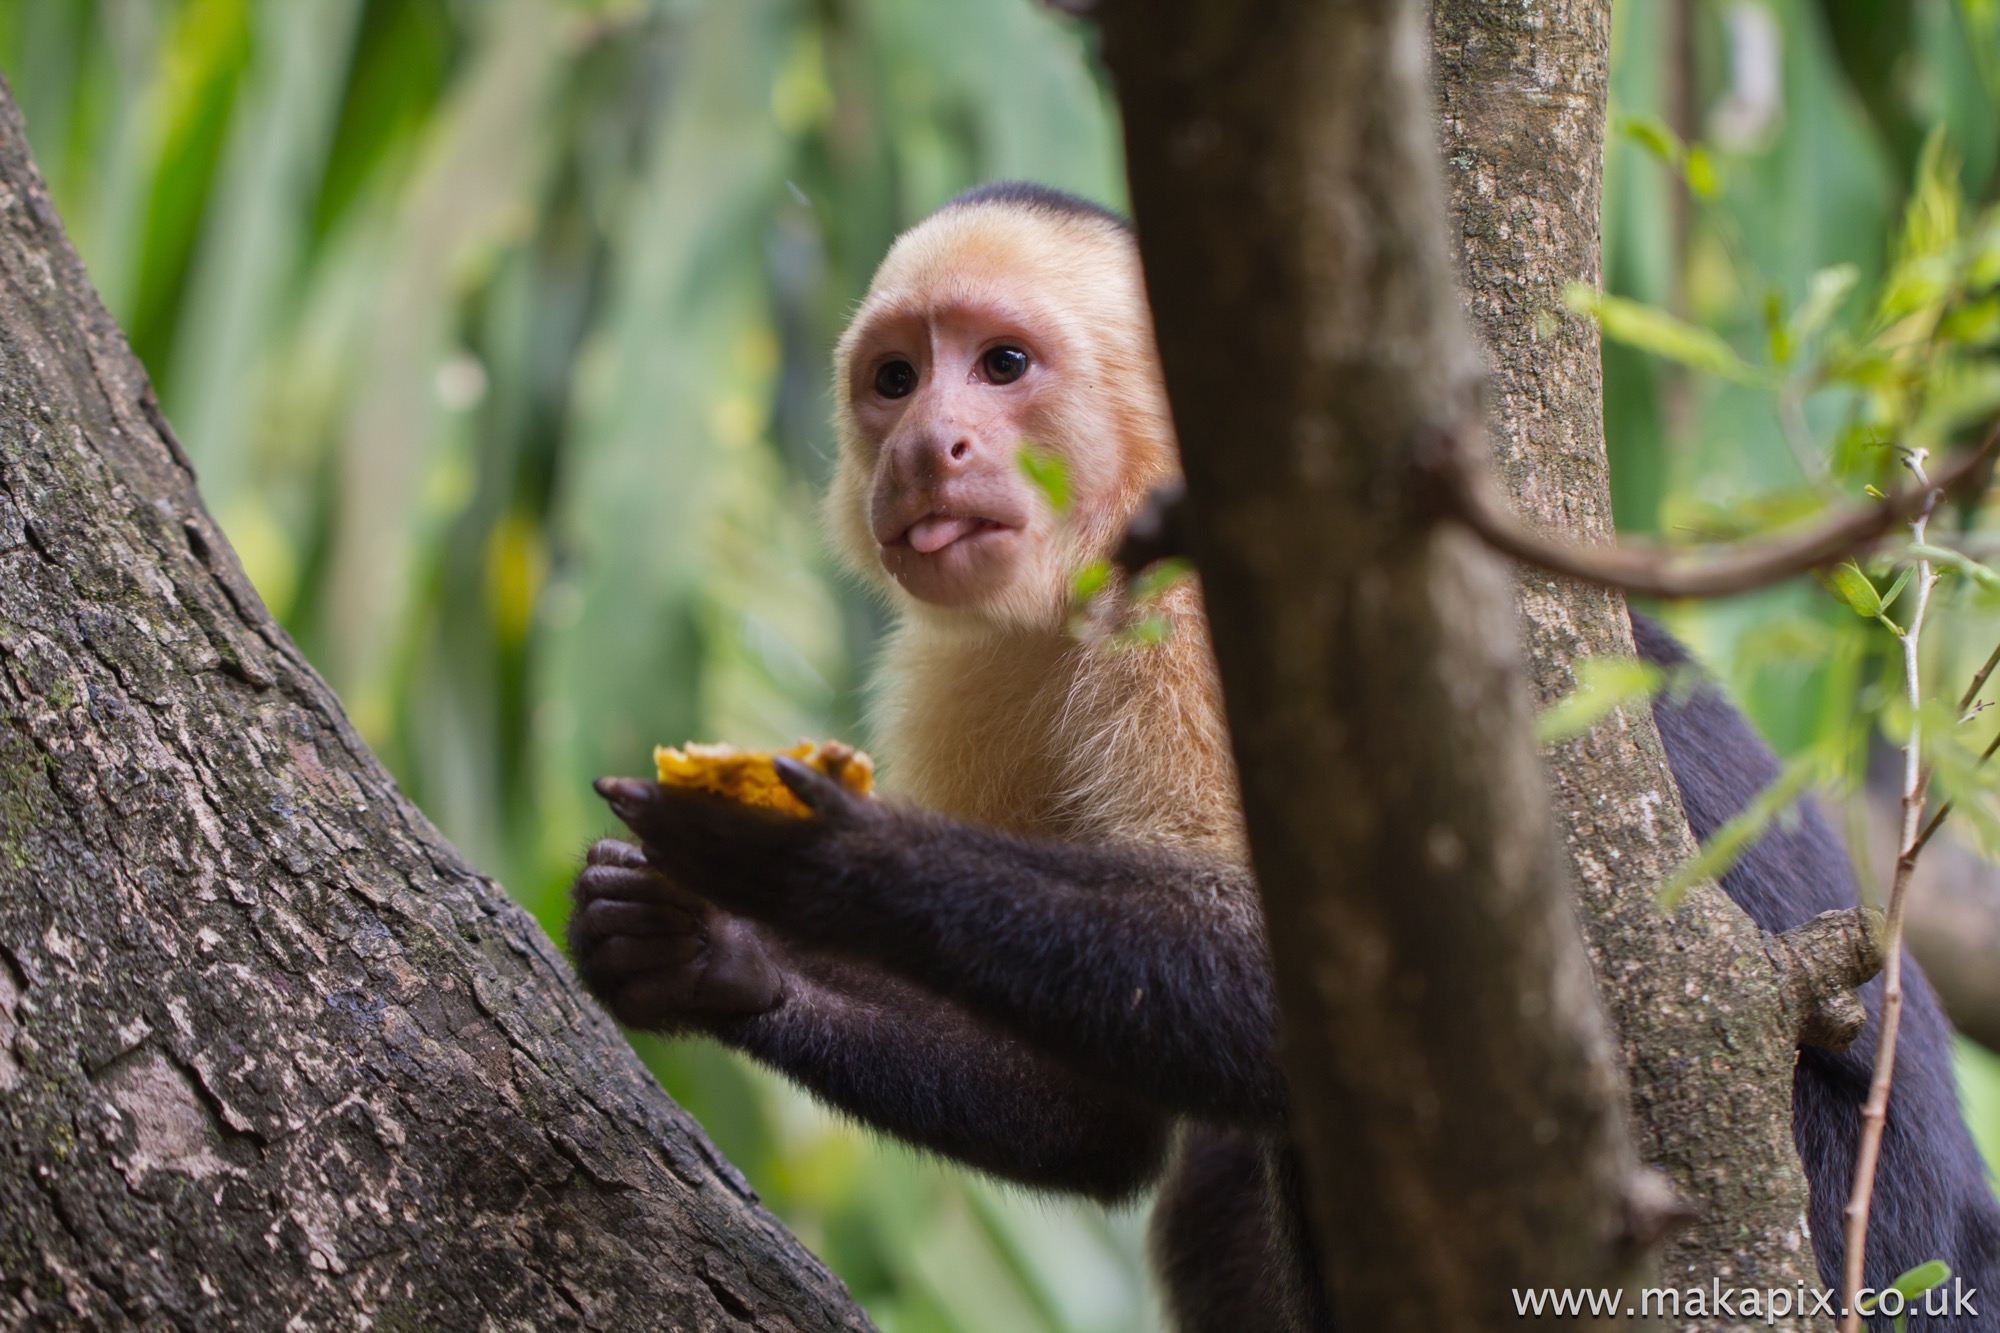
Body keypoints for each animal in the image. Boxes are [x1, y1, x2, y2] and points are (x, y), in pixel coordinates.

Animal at [572, 182, 2000, 1320]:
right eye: (893, 379)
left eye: (1000, 364)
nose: (928, 445)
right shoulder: (968, 663)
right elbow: (1091, 1115)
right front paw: (700, 952)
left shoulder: (1211, 614)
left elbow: (1342, 994)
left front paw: (811, 855)